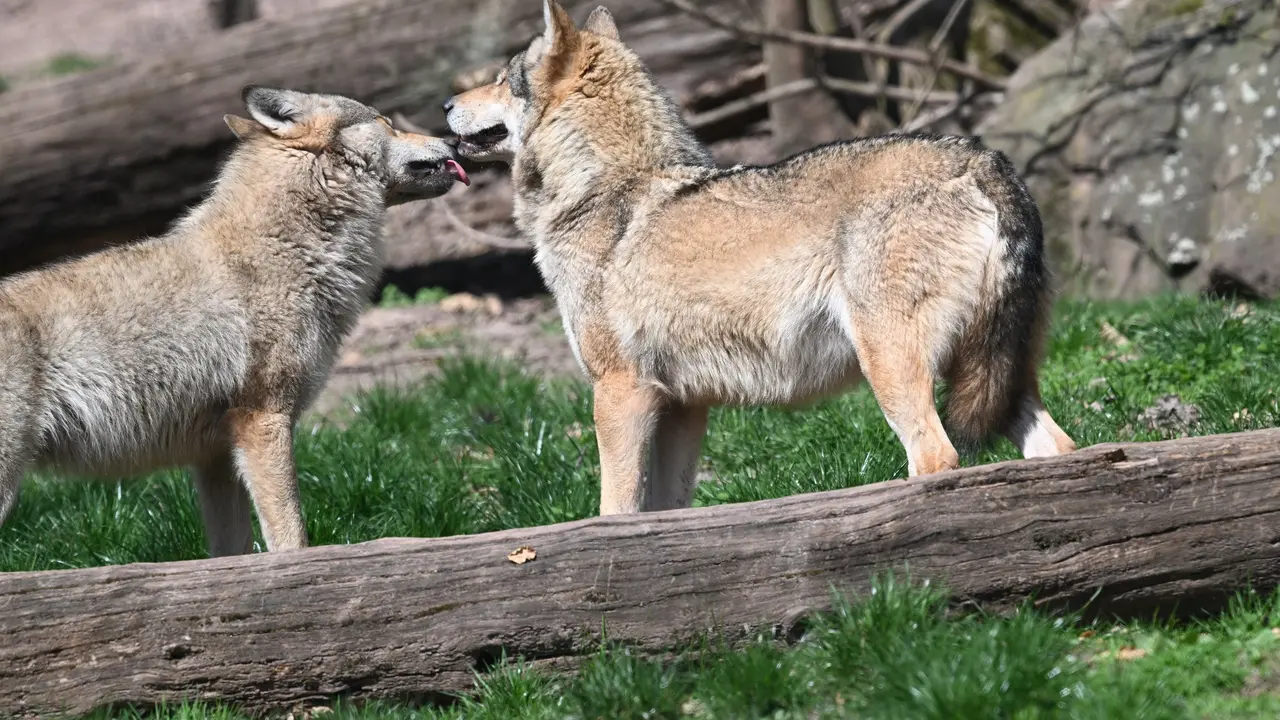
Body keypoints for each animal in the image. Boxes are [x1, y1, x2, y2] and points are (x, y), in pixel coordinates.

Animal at [0, 86, 470, 555]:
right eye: (385, 121)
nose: (452, 141)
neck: (290, 248)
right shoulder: (264, 421)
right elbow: (291, 538)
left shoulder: (214, 457)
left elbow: (233, 554)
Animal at [445, 1, 1077, 515]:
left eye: (501, 79)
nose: (447, 103)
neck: (604, 187)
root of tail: (981, 159)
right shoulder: (683, 405)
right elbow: (667, 508)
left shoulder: (619, 392)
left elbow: (614, 509)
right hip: (1000, 377)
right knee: (1061, 448)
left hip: (895, 368)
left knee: (937, 457)